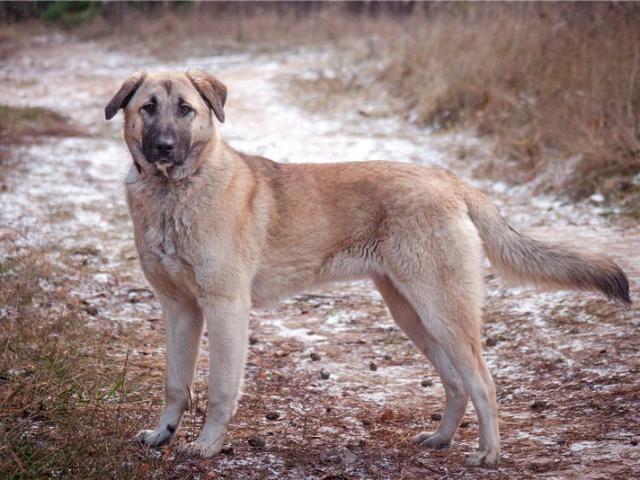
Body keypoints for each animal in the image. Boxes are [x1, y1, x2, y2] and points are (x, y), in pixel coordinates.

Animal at [105, 70, 632, 464]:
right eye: (148, 108)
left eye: (186, 110)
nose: (164, 147)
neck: (173, 194)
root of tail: (450, 181)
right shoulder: (178, 309)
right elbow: (176, 383)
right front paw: (162, 435)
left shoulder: (225, 307)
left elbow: (218, 389)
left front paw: (207, 446)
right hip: (413, 314)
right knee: (456, 382)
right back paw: (441, 439)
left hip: (442, 310)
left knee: (482, 381)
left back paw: (488, 454)